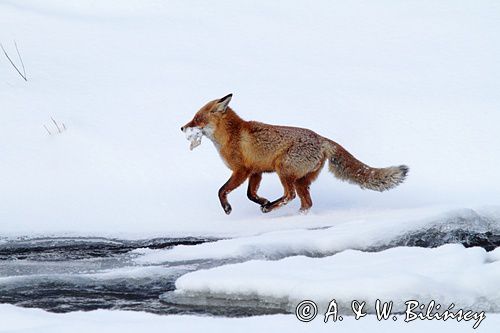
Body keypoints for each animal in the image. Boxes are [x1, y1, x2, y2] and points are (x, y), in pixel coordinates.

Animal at [182, 93, 408, 214]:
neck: (231, 136)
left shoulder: (242, 170)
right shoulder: (256, 171)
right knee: (306, 202)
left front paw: (228, 208)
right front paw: (263, 201)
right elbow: (250, 194)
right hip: (301, 180)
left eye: (197, 119)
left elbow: (222, 190)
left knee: (289, 195)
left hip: (283, 170)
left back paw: (274, 210)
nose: (182, 128)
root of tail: (321, 138)